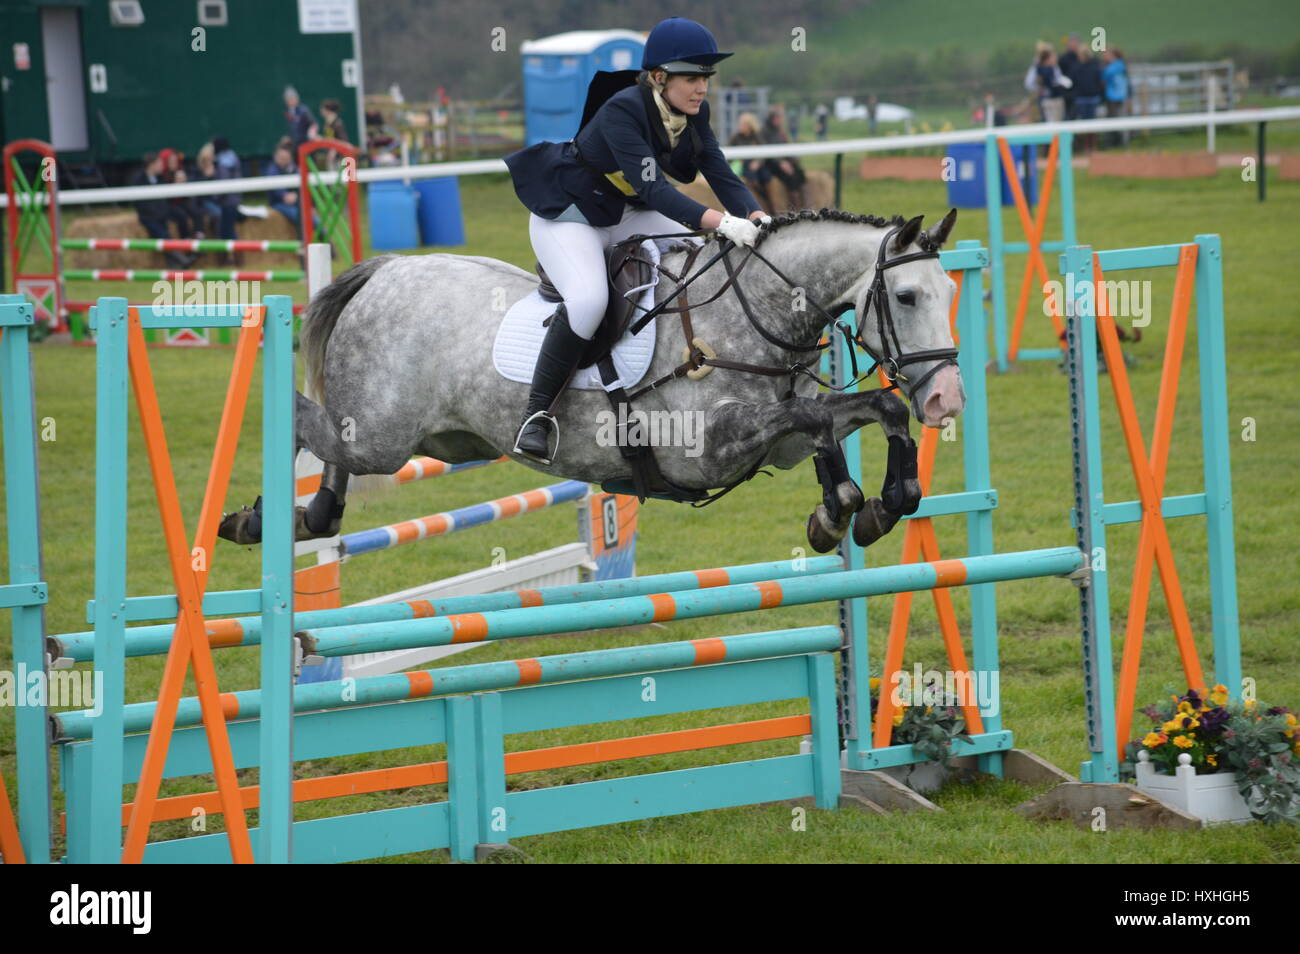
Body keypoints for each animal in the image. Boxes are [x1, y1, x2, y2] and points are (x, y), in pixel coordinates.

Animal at [215, 209, 967, 553]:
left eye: (949, 291)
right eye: (905, 297)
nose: (947, 398)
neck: (750, 310)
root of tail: (387, 270)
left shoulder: (772, 442)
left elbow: (868, 411)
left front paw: (870, 507)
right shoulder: (706, 449)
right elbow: (818, 422)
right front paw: (840, 508)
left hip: (441, 440)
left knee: (329, 450)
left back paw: (309, 515)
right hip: (380, 435)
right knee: (307, 421)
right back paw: (256, 516)